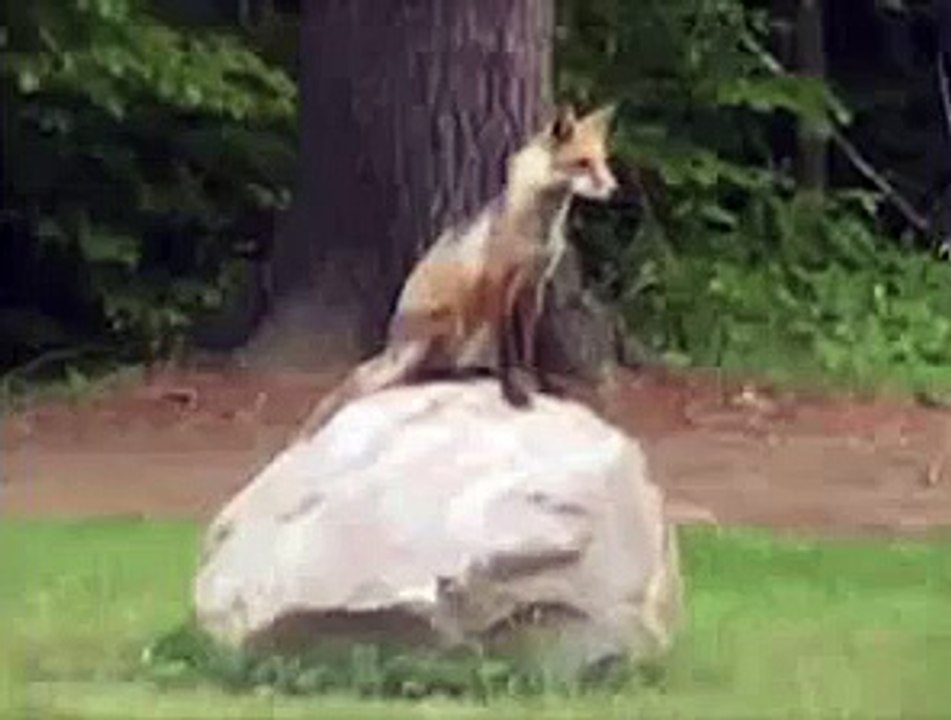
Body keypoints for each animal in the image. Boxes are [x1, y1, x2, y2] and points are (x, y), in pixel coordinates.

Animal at [295, 102, 619, 441]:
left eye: (603, 162)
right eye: (582, 163)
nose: (614, 189)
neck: (539, 229)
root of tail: (393, 344)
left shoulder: (534, 287)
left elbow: (528, 348)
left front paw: (539, 384)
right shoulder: (497, 282)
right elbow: (506, 348)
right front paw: (512, 393)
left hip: (468, 332)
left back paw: (473, 372)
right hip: (450, 321)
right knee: (418, 376)